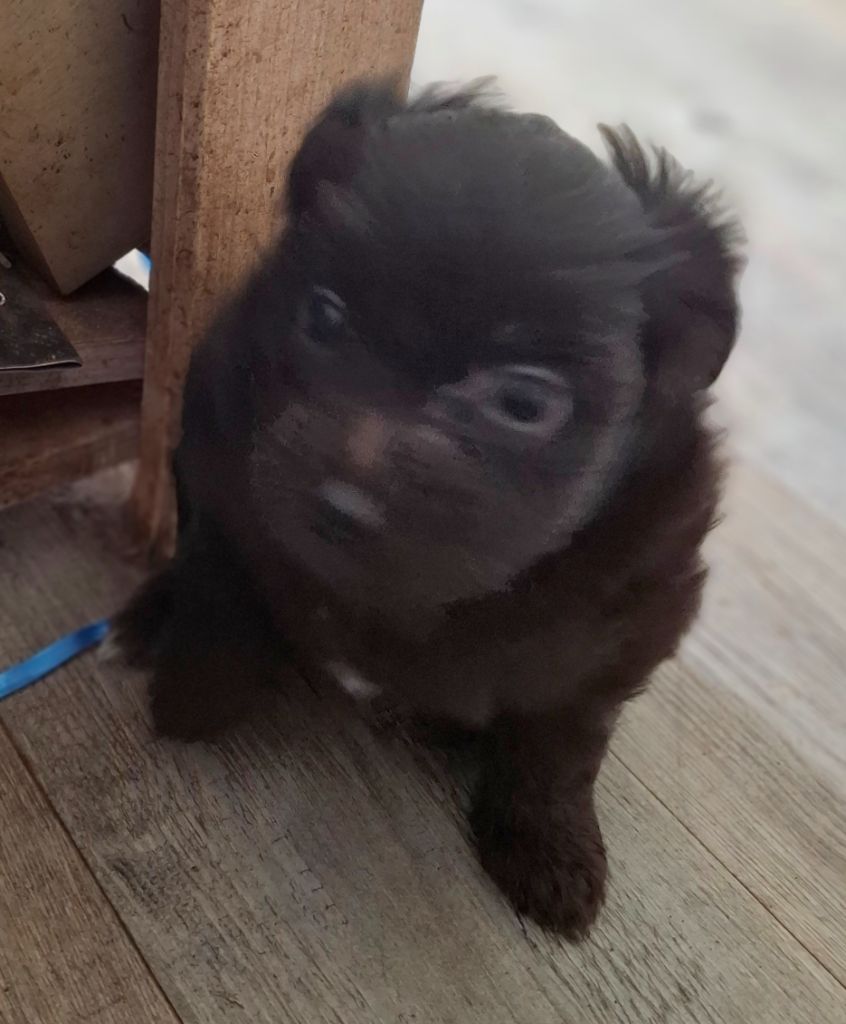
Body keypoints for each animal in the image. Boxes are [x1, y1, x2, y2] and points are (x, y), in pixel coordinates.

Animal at [115, 81, 743, 938]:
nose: (341, 506)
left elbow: (560, 747)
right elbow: (223, 585)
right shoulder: (225, 468)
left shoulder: (625, 627)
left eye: (523, 404)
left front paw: (550, 851)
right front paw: (195, 693)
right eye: (324, 316)